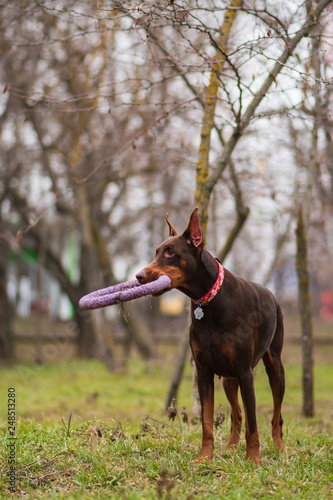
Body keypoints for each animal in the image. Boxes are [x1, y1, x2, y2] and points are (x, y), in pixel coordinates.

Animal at [136, 208, 284, 464]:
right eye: (156, 251)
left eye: (171, 252)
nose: (139, 276)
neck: (208, 302)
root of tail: (272, 295)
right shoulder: (204, 371)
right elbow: (207, 422)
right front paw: (205, 458)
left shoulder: (246, 372)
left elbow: (254, 424)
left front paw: (254, 460)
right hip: (228, 379)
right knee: (237, 414)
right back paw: (232, 447)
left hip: (274, 366)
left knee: (276, 415)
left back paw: (279, 448)